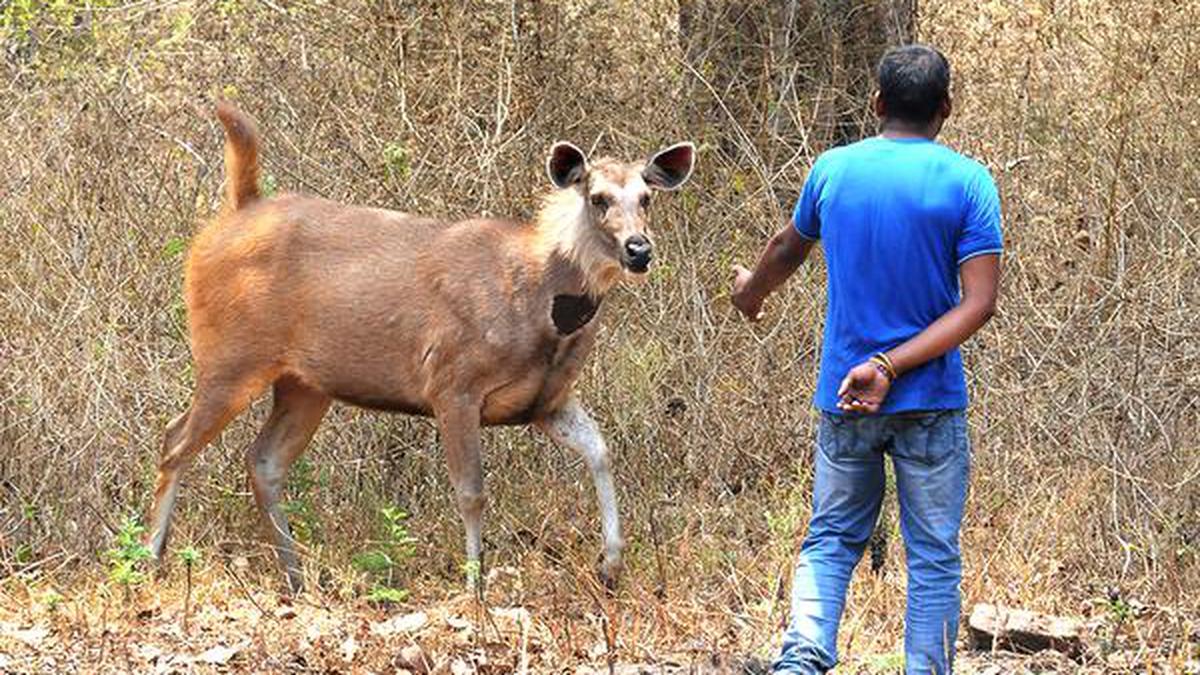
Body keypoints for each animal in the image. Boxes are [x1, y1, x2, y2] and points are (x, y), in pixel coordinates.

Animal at [146, 102, 696, 590]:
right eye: (598, 197)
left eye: (646, 197)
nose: (639, 250)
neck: (539, 301)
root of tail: (235, 213)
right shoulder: (453, 383)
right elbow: (472, 492)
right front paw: (475, 588)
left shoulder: (547, 400)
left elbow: (601, 450)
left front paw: (611, 566)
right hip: (230, 358)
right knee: (175, 439)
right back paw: (150, 557)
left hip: (305, 383)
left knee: (263, 461)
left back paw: (295, 576)